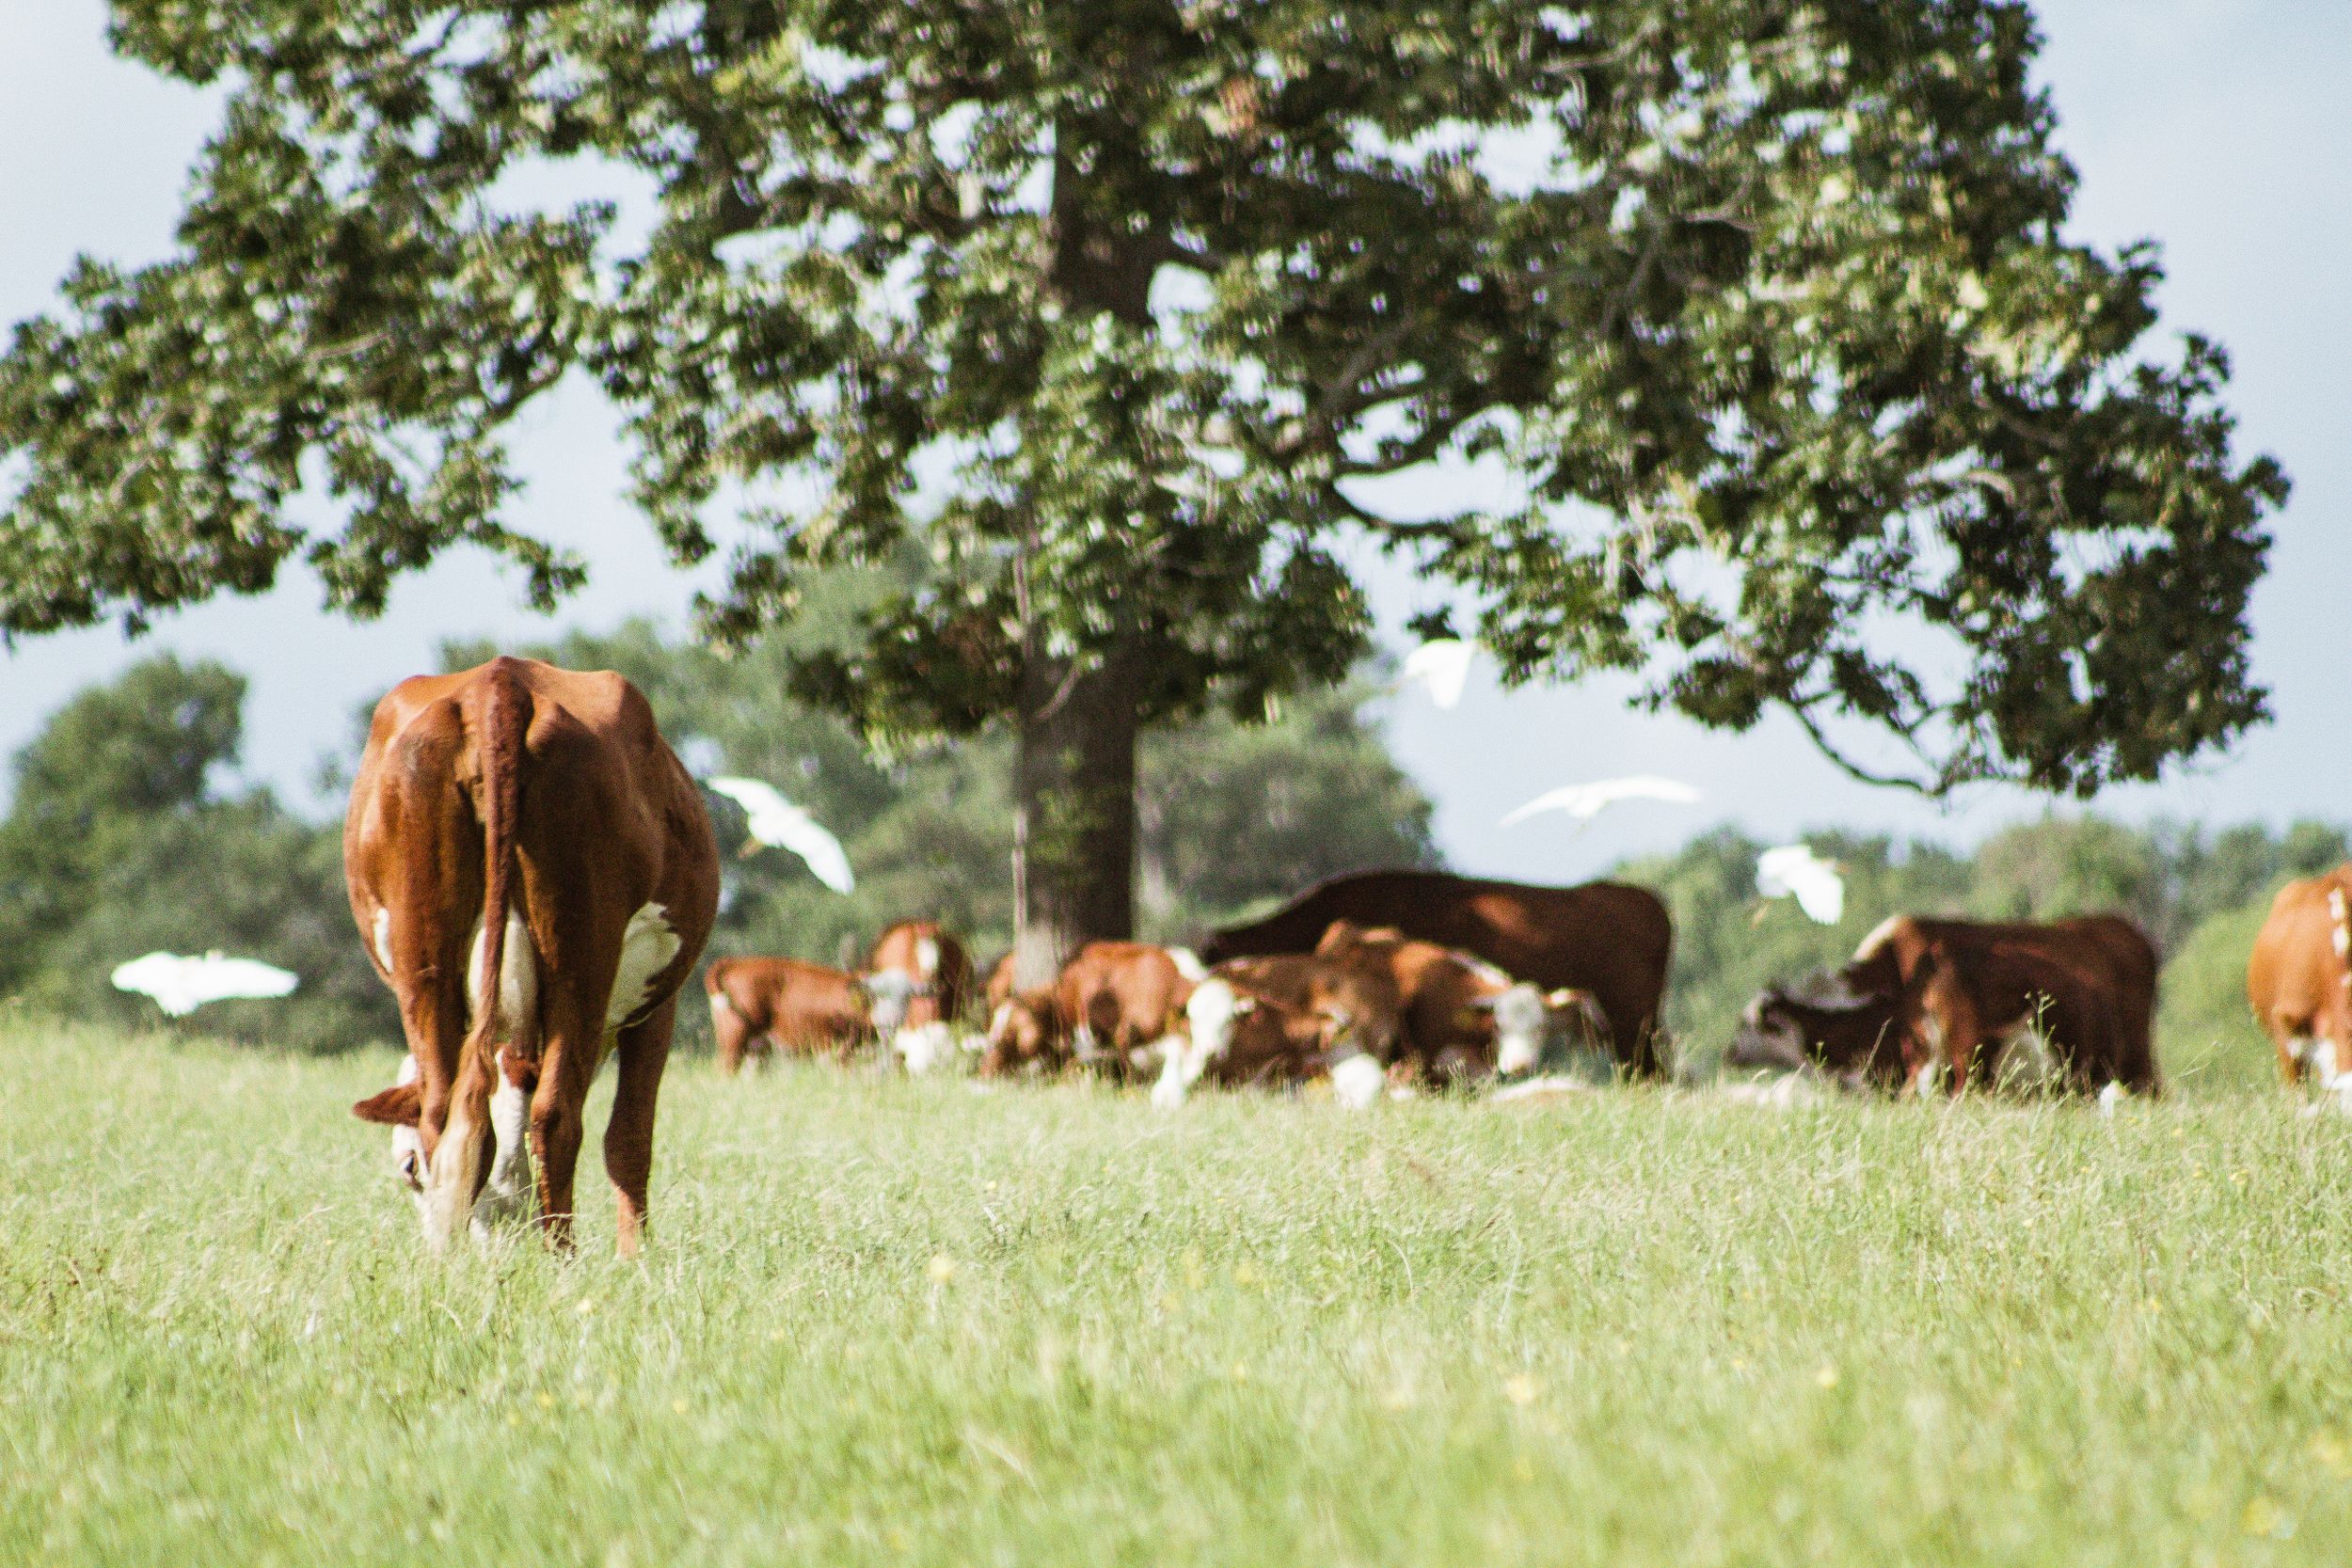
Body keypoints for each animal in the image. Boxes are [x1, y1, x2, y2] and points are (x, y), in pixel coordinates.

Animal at [344, 656, 718, 1254]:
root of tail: (499, 683)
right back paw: (562, 1259)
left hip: (423, 961)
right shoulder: (657, 1004)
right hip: (580, 961)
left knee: (450, 1111)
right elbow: (629, 1137)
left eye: (408, 1168)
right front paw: (633, 1261)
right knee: (556, 1115)